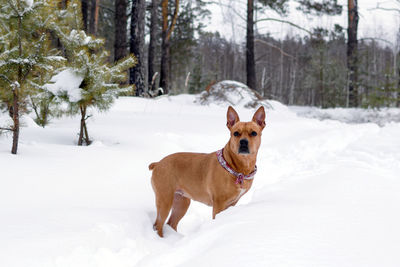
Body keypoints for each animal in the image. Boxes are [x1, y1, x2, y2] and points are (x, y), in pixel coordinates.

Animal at [148, 105, 264, 238]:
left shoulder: (232, 203)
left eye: (253, 133)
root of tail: (158, 163)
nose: (243, 142)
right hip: (165, 200)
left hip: (181, 202)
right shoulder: (219, 204)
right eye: (236, 133)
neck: (238, 168)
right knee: (158, 225)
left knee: (171, 223)